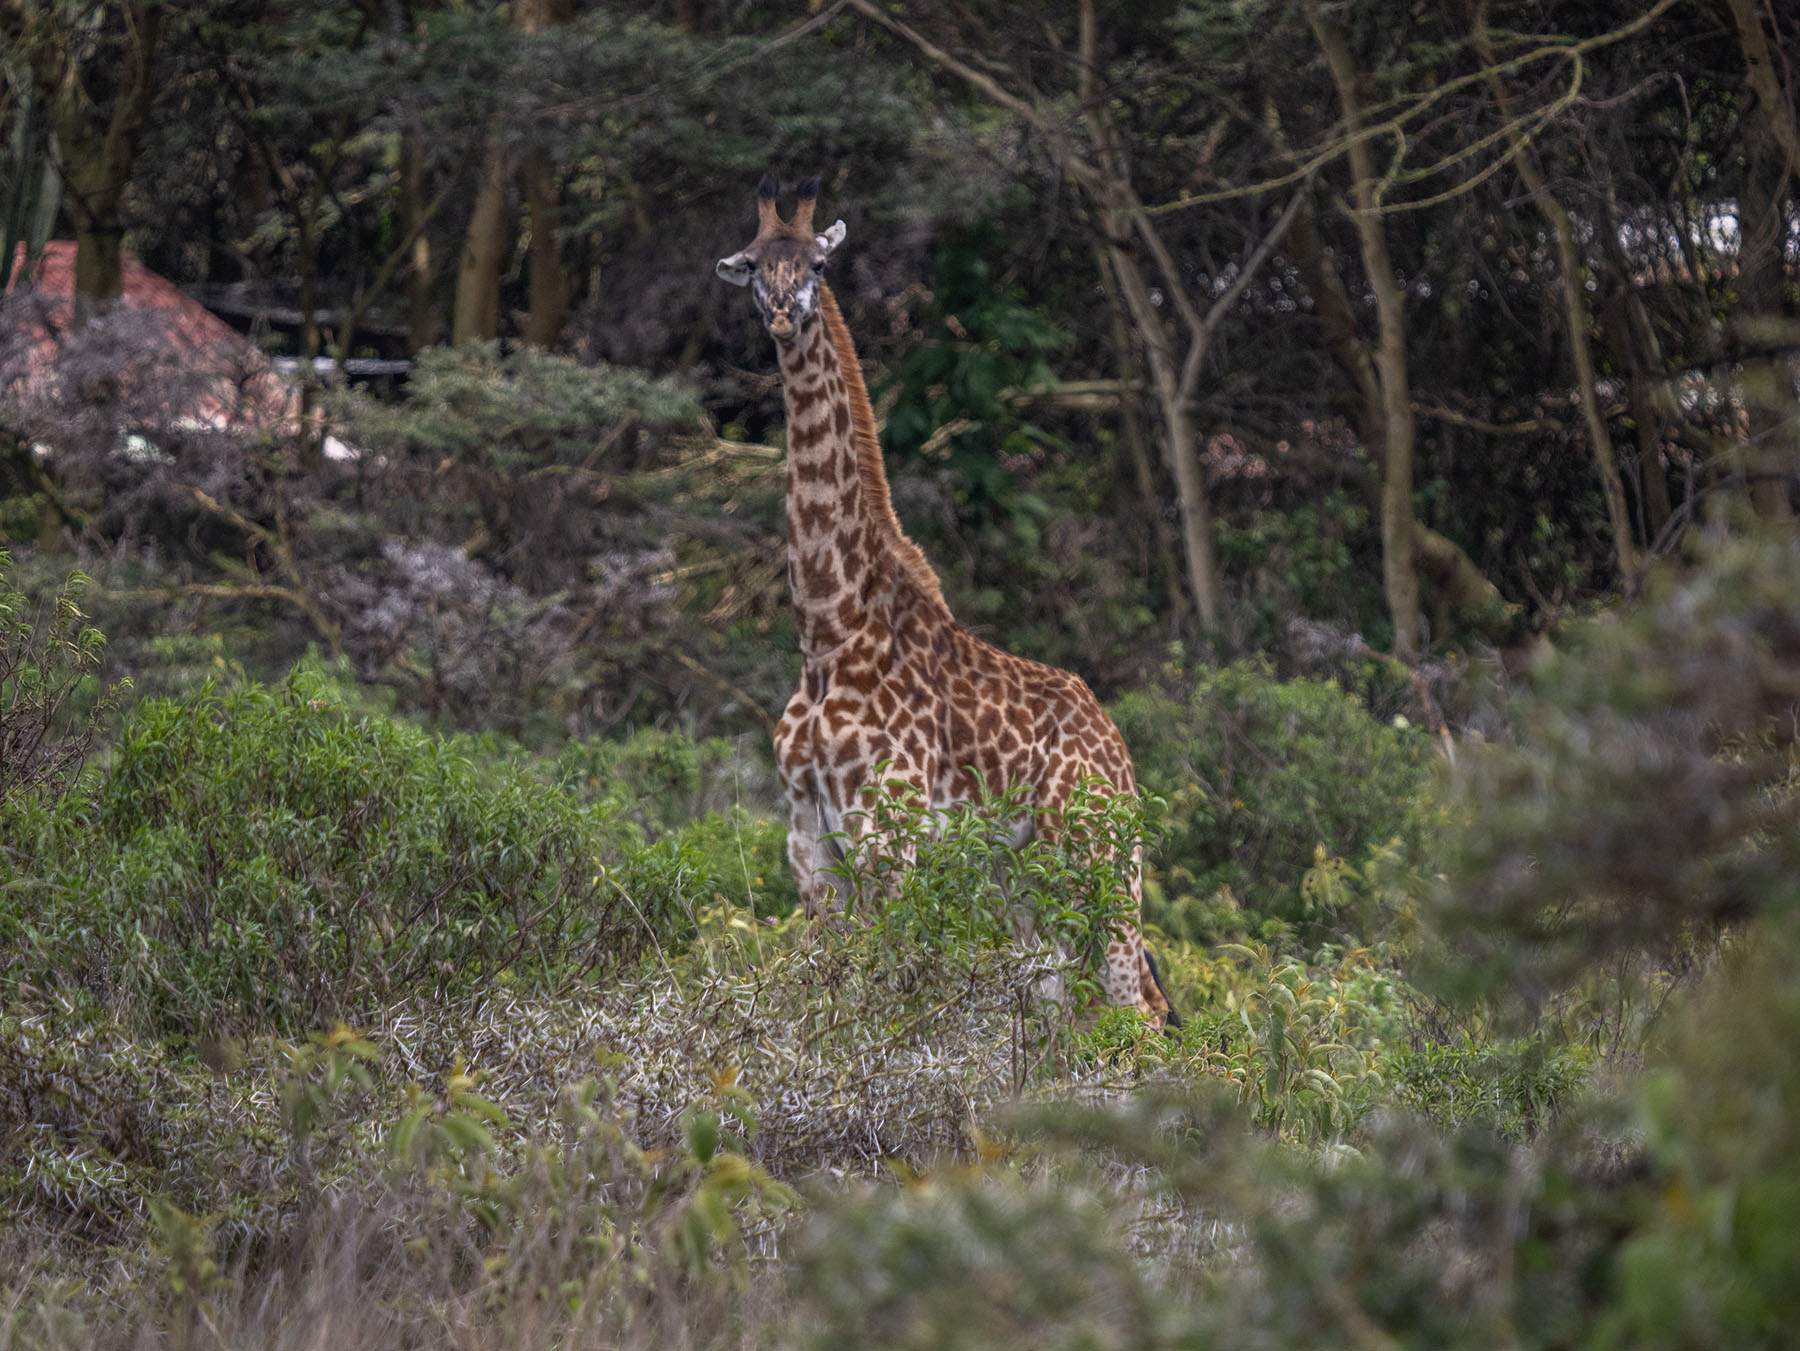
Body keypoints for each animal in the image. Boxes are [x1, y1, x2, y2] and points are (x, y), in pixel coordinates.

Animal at [715, 175, 1177, 1028]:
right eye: (755, 265)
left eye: (819, 264)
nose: (784, 314)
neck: (828, 629)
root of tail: (1121, 750)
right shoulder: (807, 842)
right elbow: (827, 988)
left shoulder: (888, 836)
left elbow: (887, 990)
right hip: (1023, 875)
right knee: (1056, 997)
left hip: (1100, 858)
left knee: (1136, 1005)